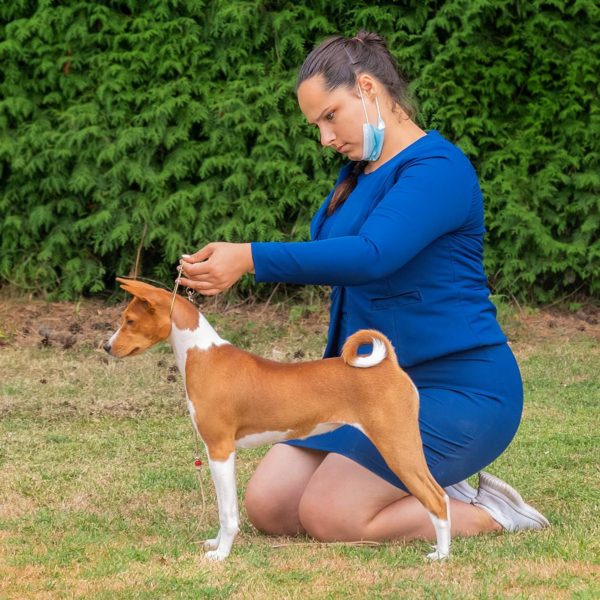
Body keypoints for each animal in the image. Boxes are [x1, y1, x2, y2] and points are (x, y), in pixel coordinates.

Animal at [104, 277, 450, 561]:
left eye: (129, 321)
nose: (105, 346)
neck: (202, 355)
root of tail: (389, 364)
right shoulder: (220, 453)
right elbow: (224, 508)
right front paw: (216, 544)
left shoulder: (220, 450)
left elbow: (227, 513)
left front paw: (221, 554)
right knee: (441, 495)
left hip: (396, 446)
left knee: (436, 498)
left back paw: (441, 556)